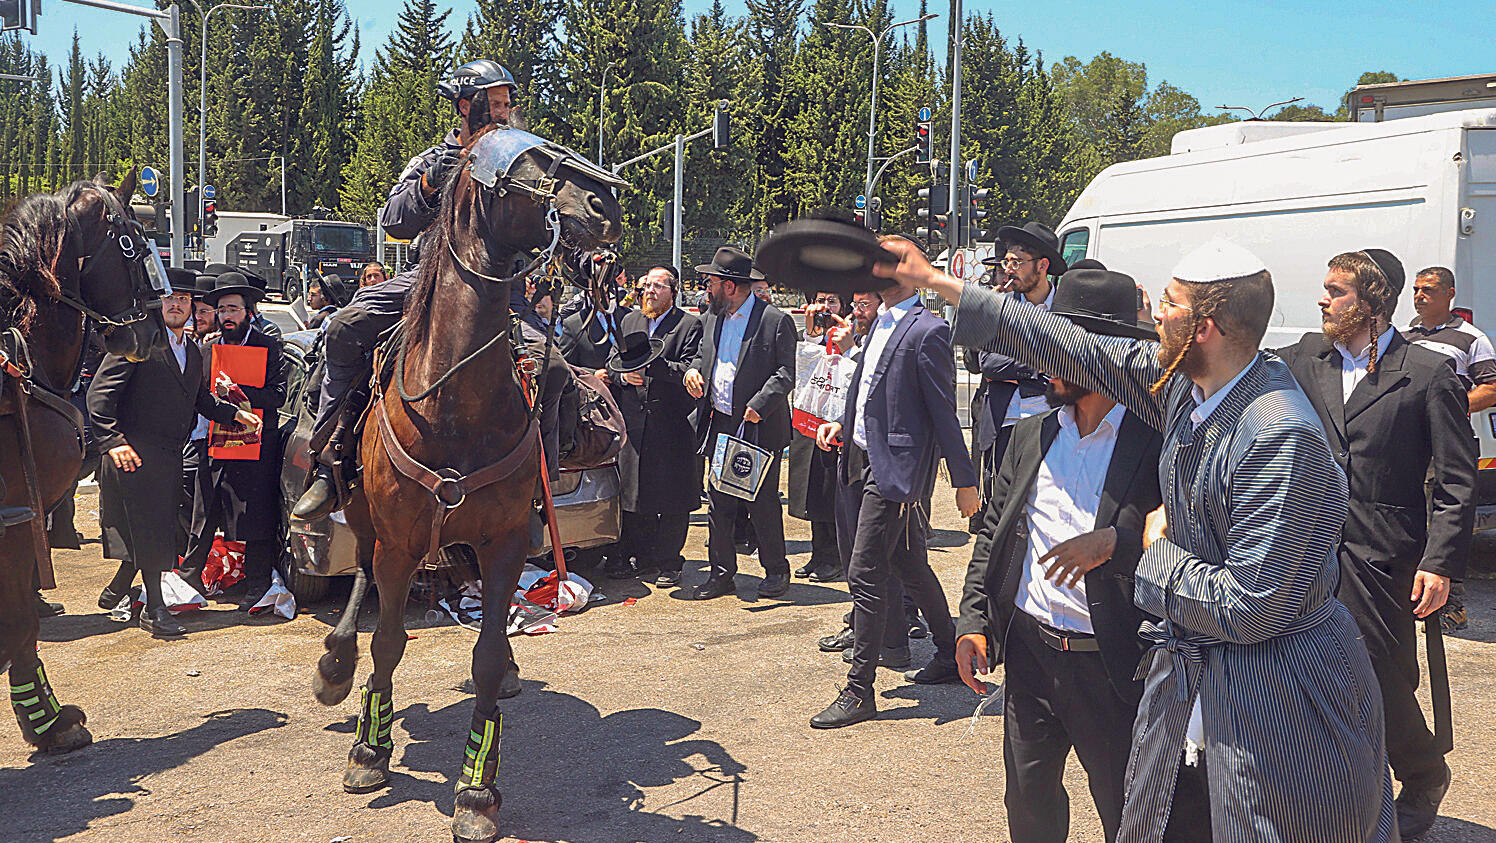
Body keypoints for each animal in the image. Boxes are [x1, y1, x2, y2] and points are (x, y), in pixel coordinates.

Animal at [312, 131, 622, 843]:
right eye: (527, 165)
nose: (604, 204)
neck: (453, 403)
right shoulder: (400, 542)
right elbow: (388, 640)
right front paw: (368, 749)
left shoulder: (503, 540)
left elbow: (483, 656)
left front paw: (478, 790)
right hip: (364, 518)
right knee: (360, 575)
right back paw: (336, 664)